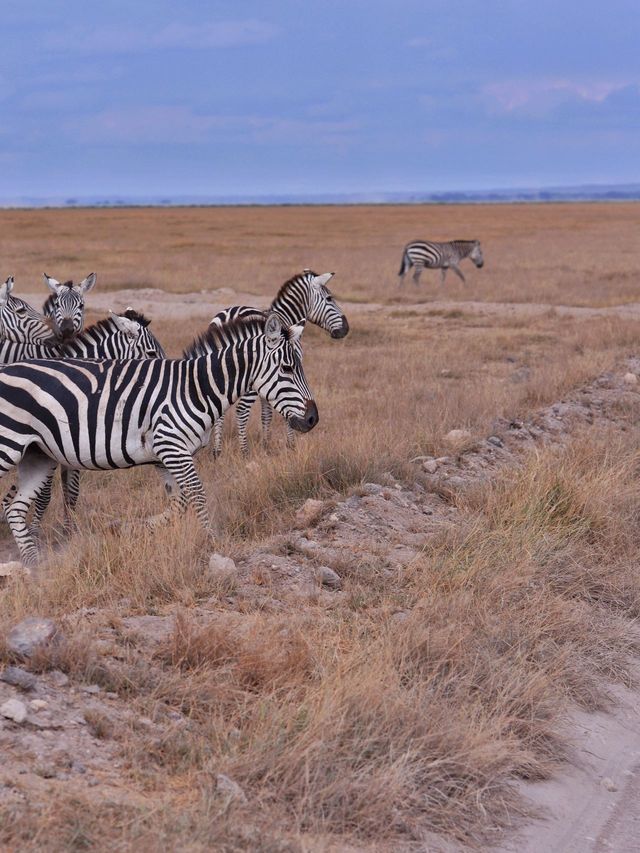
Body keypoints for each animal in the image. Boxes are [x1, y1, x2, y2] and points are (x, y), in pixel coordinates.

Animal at [0, 312, 318, 564]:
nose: (313, 419)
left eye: (300, 366)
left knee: (16, 509)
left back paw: (34, 564)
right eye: (287, 369)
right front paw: (212, 541)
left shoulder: (166, 457)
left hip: (37, 455)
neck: (195, 388)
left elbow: (179, 503)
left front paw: (135, 528)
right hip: (10, 445)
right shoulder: (172, 447)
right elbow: (197, 495)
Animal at [202, 270, 348, 456]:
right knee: (241, 411)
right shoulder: (280, 373)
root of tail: (228, 316)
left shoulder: (269, 380)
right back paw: (244, 453)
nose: (346, 329)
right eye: (329, 298)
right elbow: (287, 410)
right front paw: (290, 445)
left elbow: (267, 414)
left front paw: (266, 445)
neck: (286, 318)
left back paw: (217, 452)